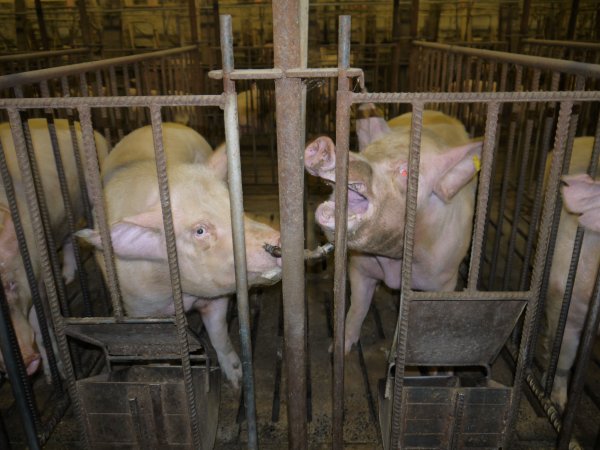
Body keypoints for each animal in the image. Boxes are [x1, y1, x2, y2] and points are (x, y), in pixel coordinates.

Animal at [0, 118, 109, 378]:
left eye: (11, 284)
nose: (27, 360)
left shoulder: (34, 274)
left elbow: (41, 325)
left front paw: (55, 373)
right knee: (69, 237)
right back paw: (66, 278)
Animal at [304, 107, 482, 354]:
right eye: (366, 151)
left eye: (405, 172)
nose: (324, 143)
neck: (393, 261)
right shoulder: (359, 266)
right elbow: (358, 306)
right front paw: (338, 349)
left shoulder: (444, 279)